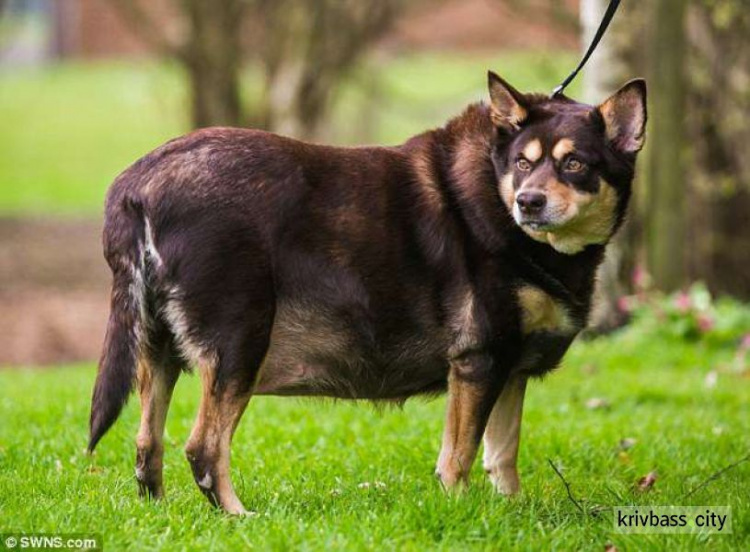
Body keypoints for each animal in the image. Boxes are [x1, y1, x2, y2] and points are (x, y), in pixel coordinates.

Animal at [86, 71, 648, 516]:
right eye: (523, 164)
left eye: (574, 164)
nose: (528, 202)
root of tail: (137, 184)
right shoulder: (479, 361)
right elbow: (460, 455)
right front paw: (460, 511)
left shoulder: (512, 370)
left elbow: (502, 454)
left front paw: (509, 511)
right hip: (239, 343)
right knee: (203, 448)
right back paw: (237, 517)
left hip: (158, 349)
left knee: (147, 444)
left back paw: (161, 514)